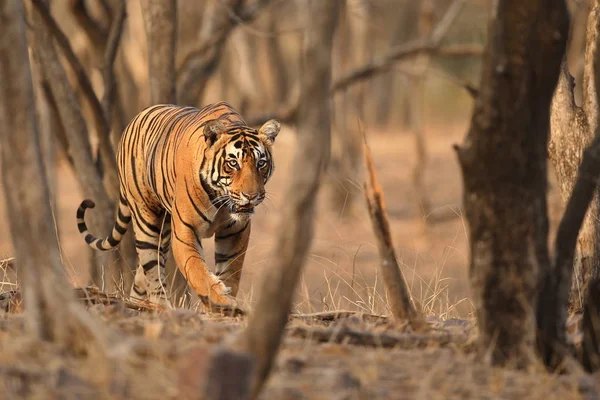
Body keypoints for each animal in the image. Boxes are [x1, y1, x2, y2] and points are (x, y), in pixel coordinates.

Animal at [76, 101, 280, 312]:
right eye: (233, 163)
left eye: (261, 163)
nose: (251, 196)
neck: (220, 198)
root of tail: (135, 119)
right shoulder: (185, 230)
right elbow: (196, 270)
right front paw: (221, 300)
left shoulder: (236, 231)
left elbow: (231, 270)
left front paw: (224, 305)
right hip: (146, 219)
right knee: (152, 270)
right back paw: (163, 309)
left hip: (164, 231)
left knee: (142, 276)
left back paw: (137, 304)